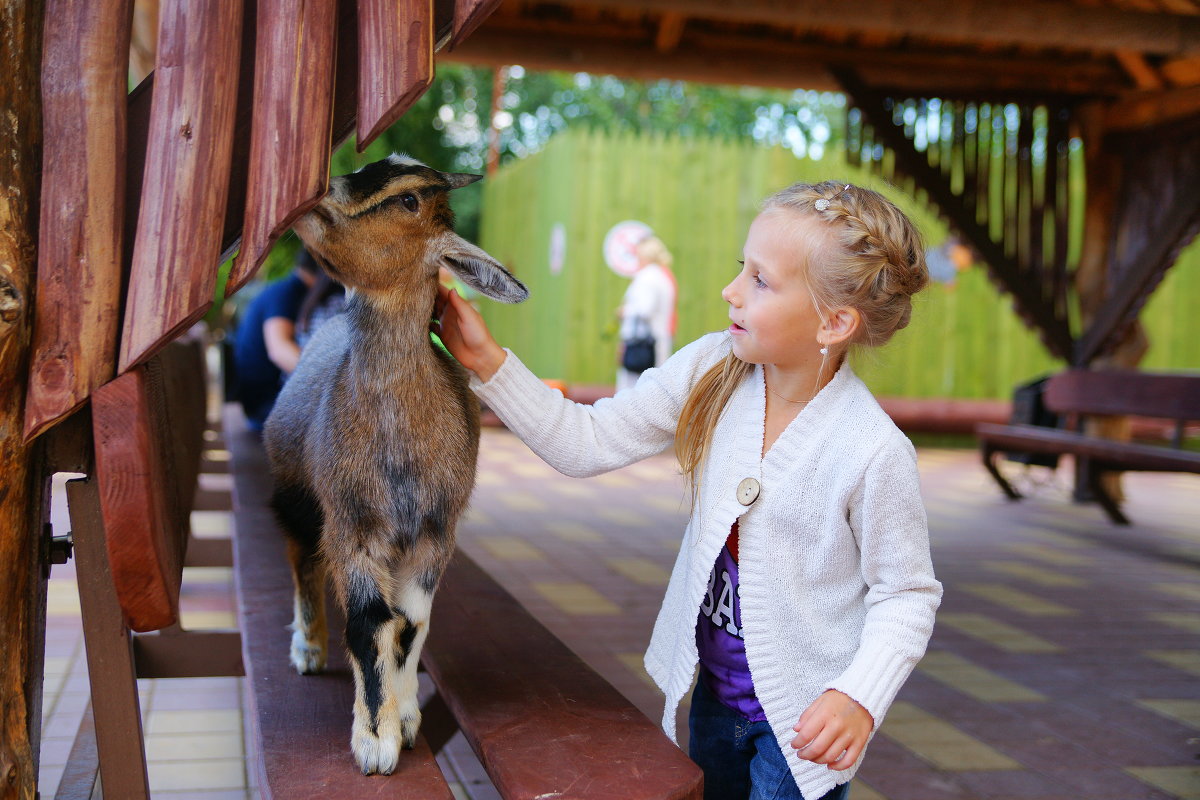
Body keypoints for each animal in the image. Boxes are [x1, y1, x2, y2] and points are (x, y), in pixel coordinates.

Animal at [265, 155, 528, 777]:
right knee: (300, 559)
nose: (316, 194)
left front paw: (404, 719)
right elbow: (368, 623)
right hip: (295, 493)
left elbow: (409, 625)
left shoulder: (435, 534)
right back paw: (308, 647)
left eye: (409, 200)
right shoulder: (352, 527)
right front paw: (373, 742)